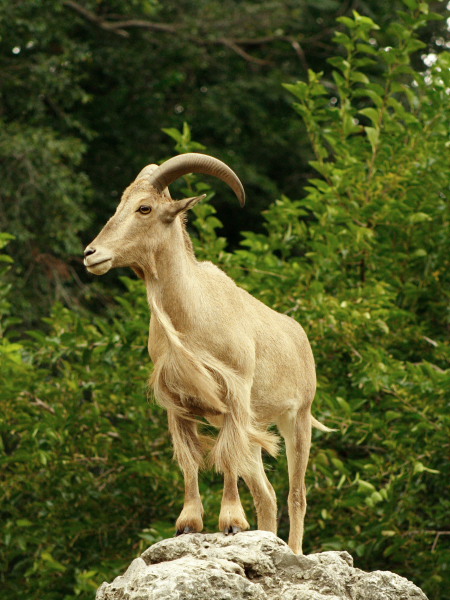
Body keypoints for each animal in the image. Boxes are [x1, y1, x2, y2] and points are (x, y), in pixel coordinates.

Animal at [84, 151, 330, 552]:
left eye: (145, 208)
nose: (91, 254)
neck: (190, 315)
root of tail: (300, 337)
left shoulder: (234, 391)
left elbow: (226, 458)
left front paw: (230, 522)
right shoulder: (177, 401)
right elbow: (189, 460)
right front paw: (188, 523)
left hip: (298, 419)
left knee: (296, 494)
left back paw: (293, 550)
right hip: (259, 427)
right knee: (267, 494)